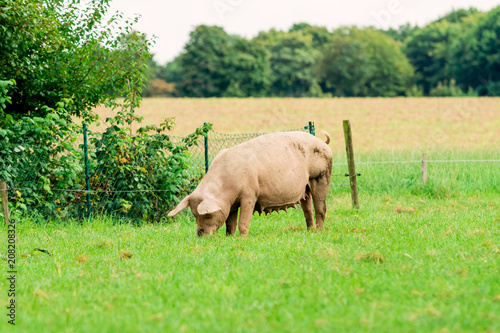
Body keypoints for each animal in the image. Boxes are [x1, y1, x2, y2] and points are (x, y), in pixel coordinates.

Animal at [167, 130, 332, 236]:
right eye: (194, 215)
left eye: (207, 215)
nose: (200, 235)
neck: (225, 187)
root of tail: (324, 144)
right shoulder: (231, 204)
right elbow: (230, 223)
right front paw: (229, 237)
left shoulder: (250, 194)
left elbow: (243, 221)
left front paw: (242, 238)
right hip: (305, 187)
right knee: (307, 209)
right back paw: (310, 231)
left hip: (321, 176)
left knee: (320, 208)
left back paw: (320, 231)